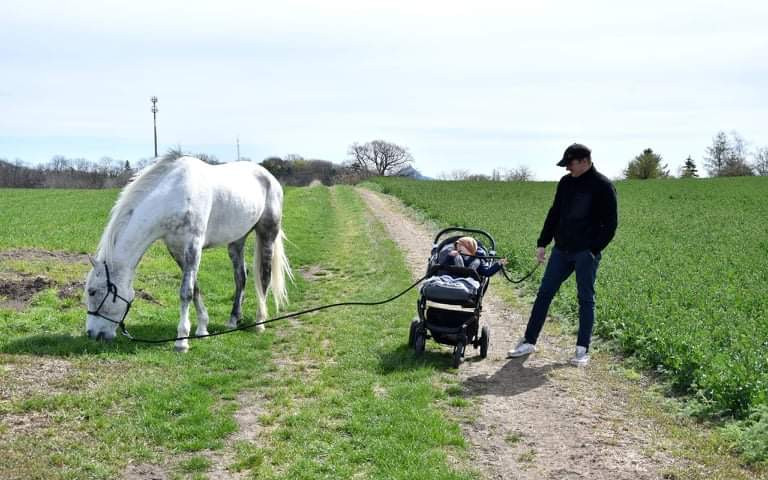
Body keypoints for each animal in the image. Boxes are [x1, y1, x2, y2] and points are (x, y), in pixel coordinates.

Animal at [84, 156, 292, 350]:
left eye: (93, 292)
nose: (92, 334)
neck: (173, 195)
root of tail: (269, 177)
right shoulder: (177, 250)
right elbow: (195, 288)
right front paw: (202, 329)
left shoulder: (193, 246)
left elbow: (186, 292)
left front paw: (182, 340)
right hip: (237, 240)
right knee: (241, 277)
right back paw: (233, 320)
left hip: (267, 234)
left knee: (264, 277)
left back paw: (259, 322)